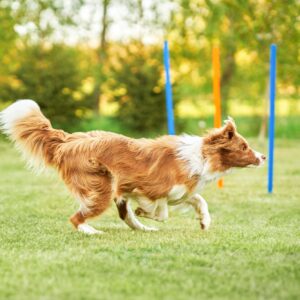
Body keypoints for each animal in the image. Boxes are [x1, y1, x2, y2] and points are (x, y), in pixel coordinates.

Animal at [0, 99, 264, 233]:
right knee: (77, 217)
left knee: (122, 214)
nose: (263, 157)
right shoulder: (144, 187)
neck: (201, 157)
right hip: (102, 187)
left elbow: (199, 201)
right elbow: (161, 212)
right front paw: (145, 213)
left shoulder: (180, 193)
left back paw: (143, 229)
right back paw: (91, 231)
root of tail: (69, 140)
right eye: (243, 147)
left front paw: (204, 221)